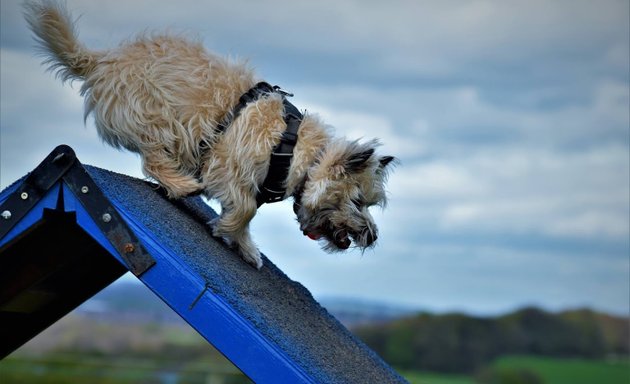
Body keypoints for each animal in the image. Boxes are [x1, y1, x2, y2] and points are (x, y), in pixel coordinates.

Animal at [25, 0, 400, 270]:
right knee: (153, 160)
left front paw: (246, 248)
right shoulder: (230, 163)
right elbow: (246, 209)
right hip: (158, 118)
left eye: (368, 204)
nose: (372, 237)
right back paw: (182, 185)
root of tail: (101, 62)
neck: (294, 148)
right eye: (357, 201)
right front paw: (232, 232)